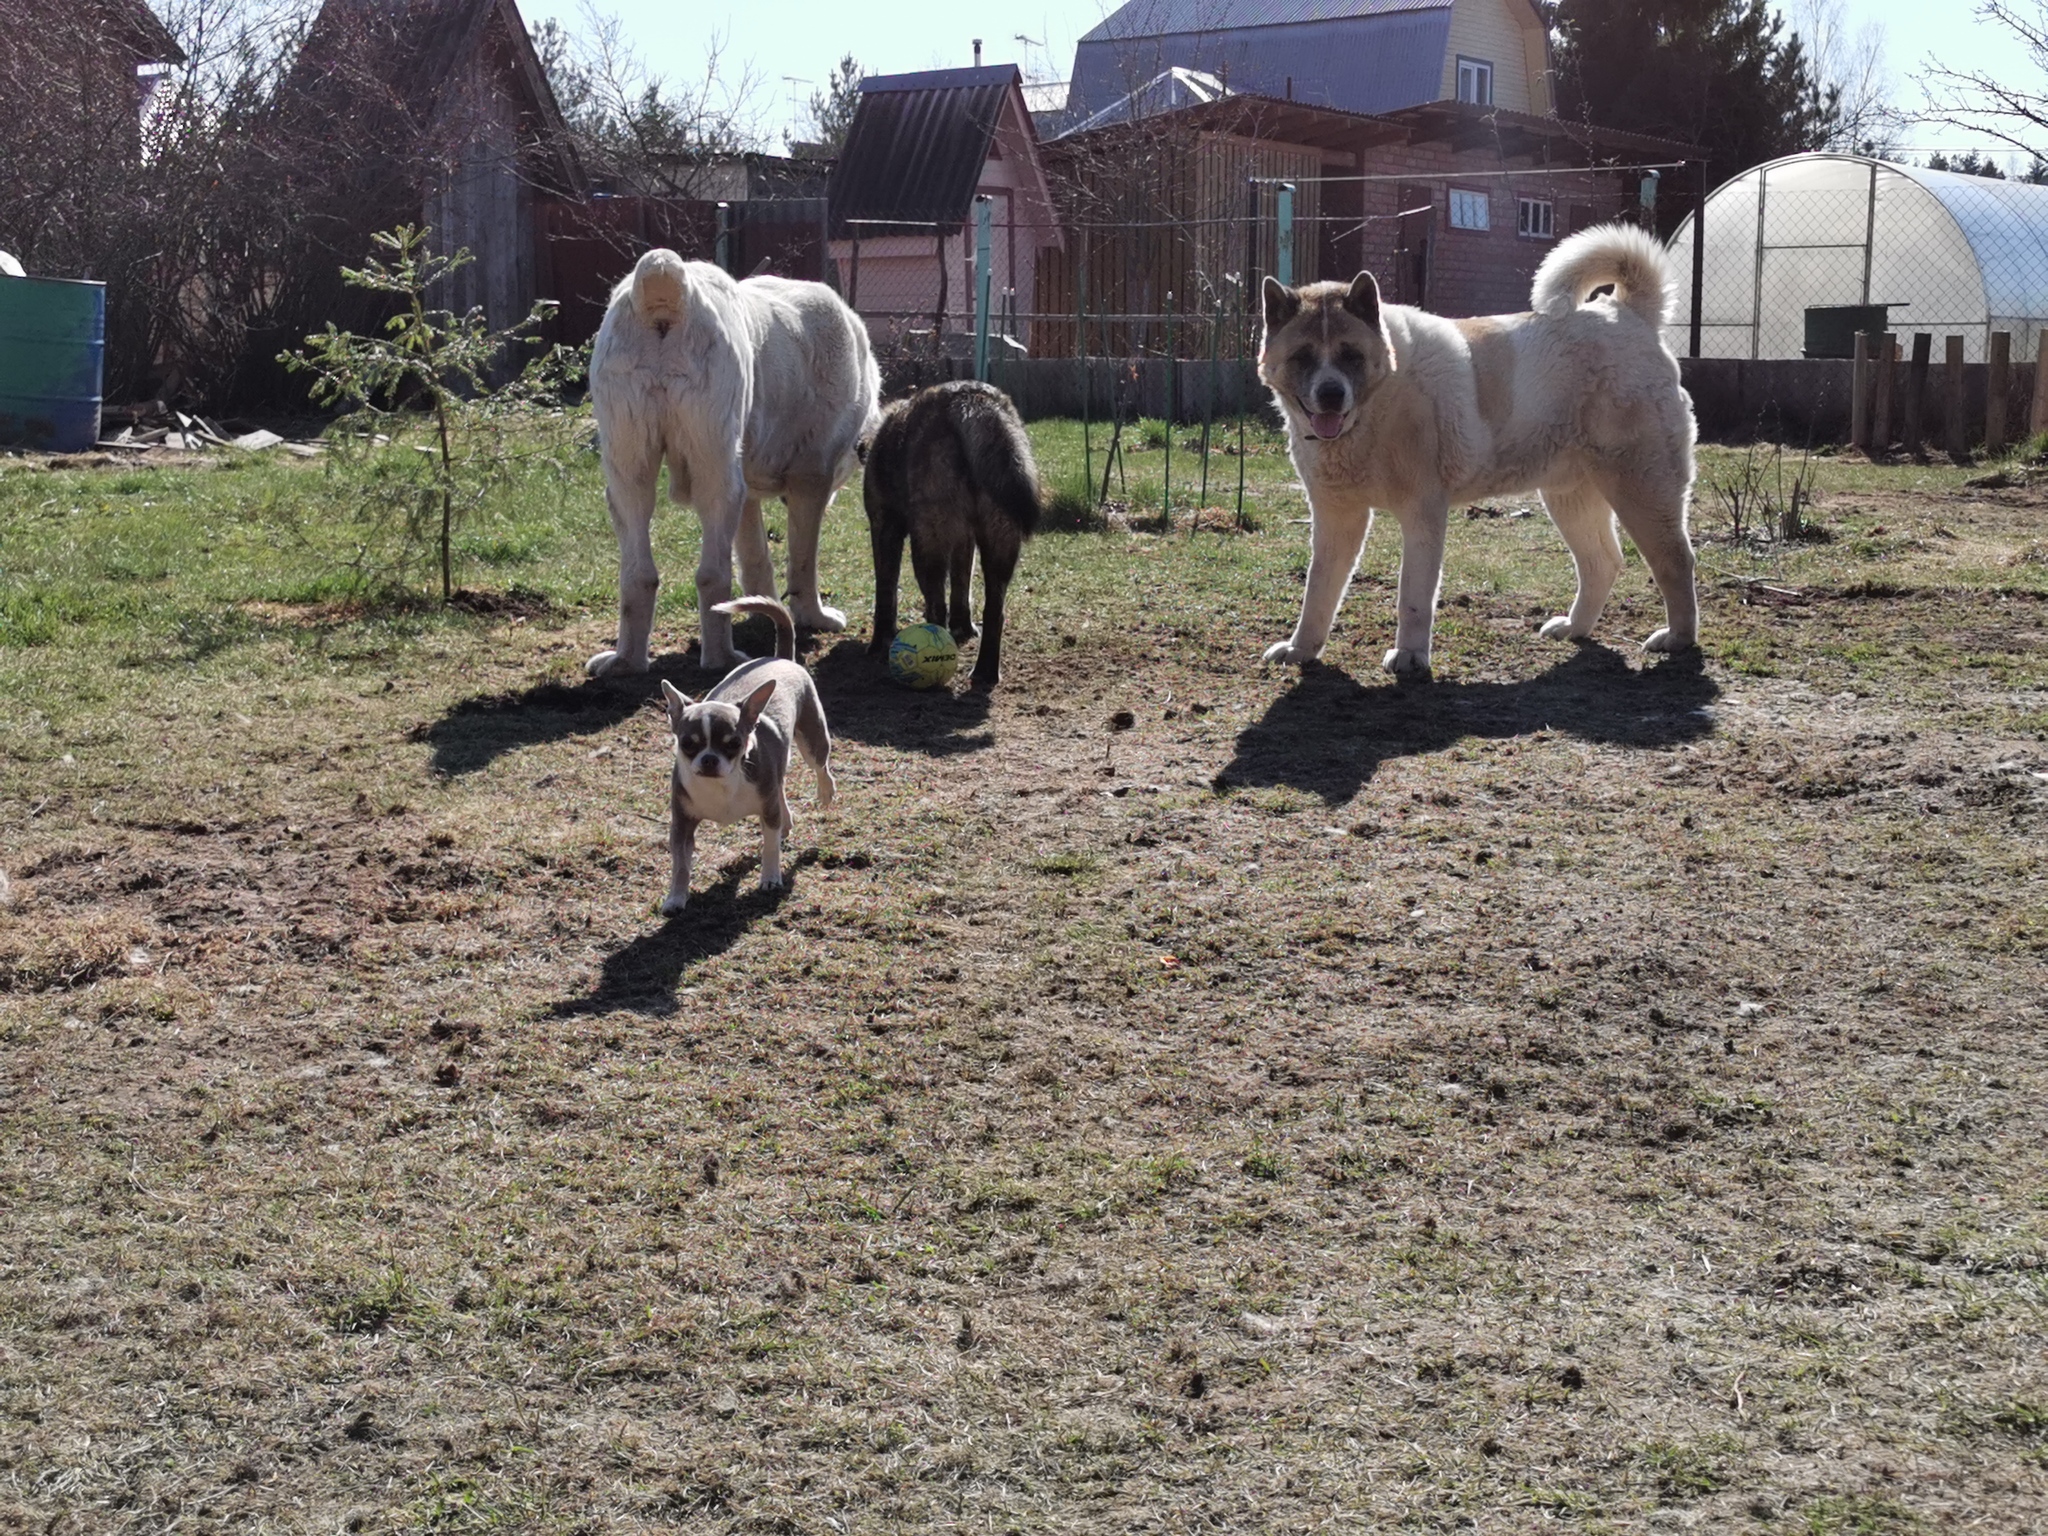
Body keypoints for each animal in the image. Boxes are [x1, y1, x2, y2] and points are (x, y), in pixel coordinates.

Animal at [589, 250, 884, 671]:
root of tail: (666, 278)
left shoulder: (747, 494)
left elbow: (756, 556)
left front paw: (765, 609)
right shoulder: (811, 479)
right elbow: (802, 562)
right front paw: (814, 617)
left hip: (630, 472)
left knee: (638, 574)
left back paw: (625, 662)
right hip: (717, 478)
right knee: (712, 575)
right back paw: (722, 659)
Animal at [860, 378, 1040, 692]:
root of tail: (970, 399)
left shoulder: (884, 528)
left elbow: (885, 591)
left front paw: (879, 643)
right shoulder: (964, 541)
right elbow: (961, 589)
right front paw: (964, 628)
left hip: (927, 545)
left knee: (936, 608)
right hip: (999, 541)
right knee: (994, 611)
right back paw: (985, 673)